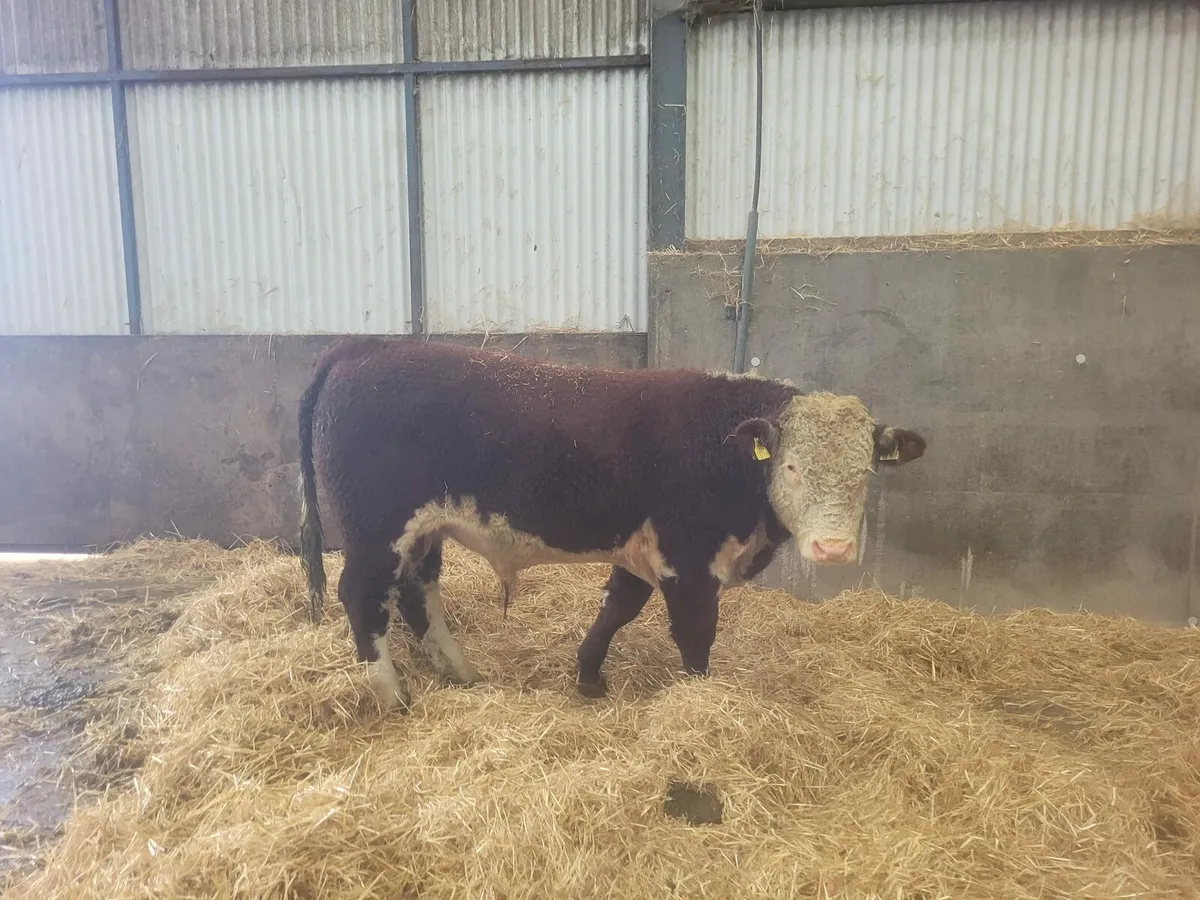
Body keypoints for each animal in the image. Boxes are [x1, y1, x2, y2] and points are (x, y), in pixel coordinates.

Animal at [297, 337, 926, 712]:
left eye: (864, 471)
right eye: (792, 467)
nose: (834, 547)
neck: (723, 449)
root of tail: (366, 346)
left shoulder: (643, 550)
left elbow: (618, 608)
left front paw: (589, 678)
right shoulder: (689, 562)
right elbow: (695, 636)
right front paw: (698, 701)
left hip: (422, 532)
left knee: (416, 593)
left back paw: (460, 672)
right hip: (375, 530)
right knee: (361, 596)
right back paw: (392, 694)